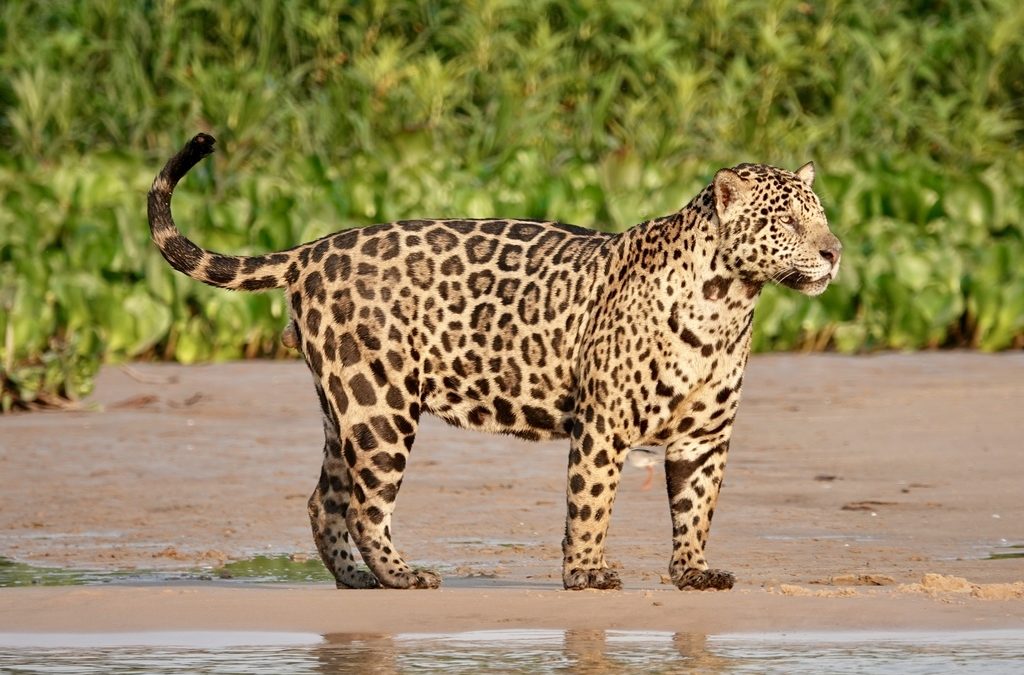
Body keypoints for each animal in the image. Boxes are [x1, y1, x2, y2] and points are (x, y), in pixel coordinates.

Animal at [148, 133, 841, 591]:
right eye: (787, 222)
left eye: (823, 216)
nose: (835, 251)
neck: (727, 302)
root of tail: (313, 249)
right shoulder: (603, 426)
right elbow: (591, 503)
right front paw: (586, 573)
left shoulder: (705, 438)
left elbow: (696, 509)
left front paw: (693, 572)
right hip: (380, 408)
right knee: (367, 506)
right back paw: (403, 576)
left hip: (344, 406)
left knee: (326, 501)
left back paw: (357, 579)